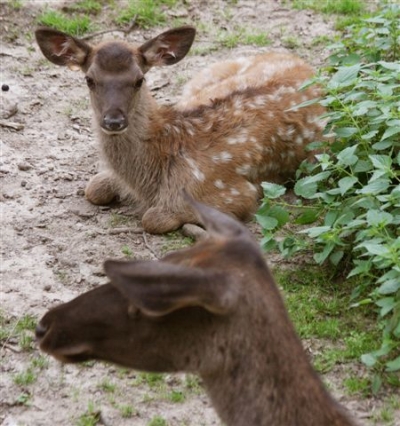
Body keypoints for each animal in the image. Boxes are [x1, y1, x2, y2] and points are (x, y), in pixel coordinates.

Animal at [36, 26, 324, 233]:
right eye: (89, 79)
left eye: (139, 79)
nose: (113, 121)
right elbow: (93, 188)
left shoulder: (234, 194)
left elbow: (152, 218)